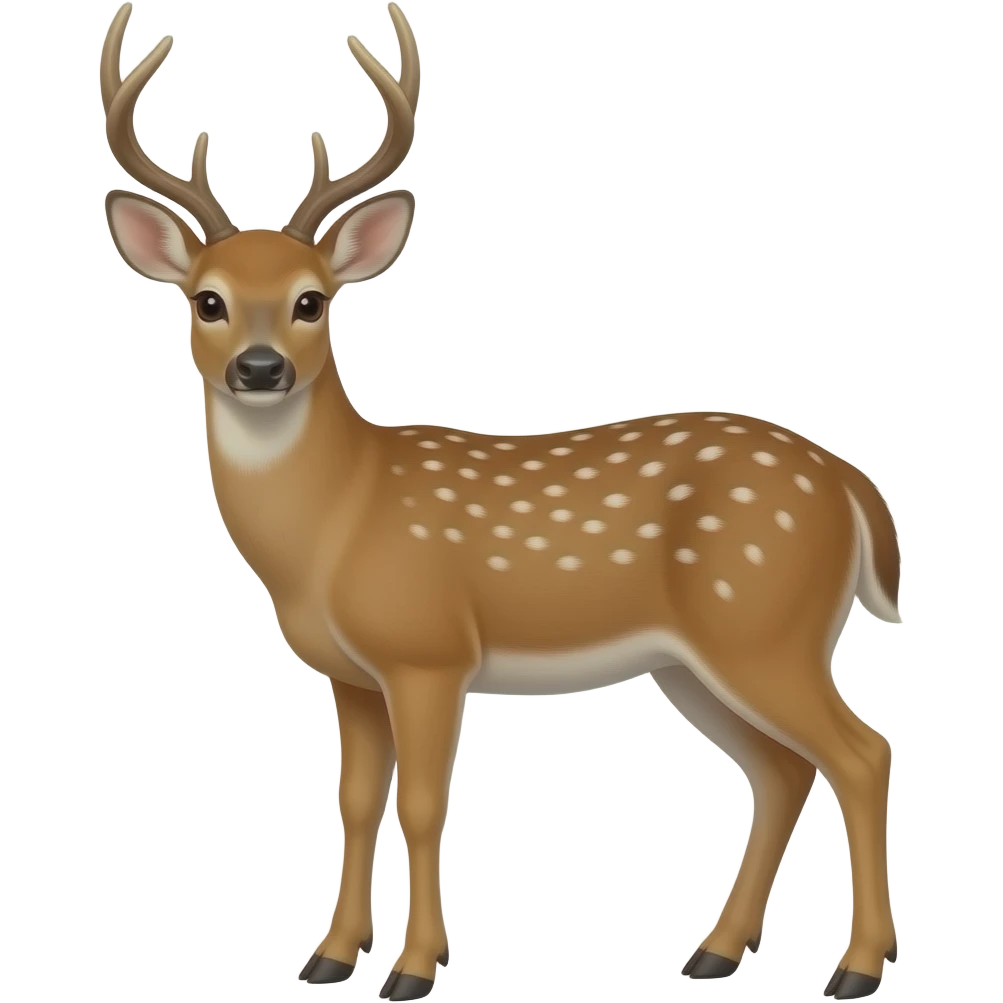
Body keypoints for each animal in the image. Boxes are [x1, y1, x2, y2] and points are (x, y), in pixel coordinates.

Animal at [99, 2, 903, 999]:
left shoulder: (429, 650)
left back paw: (856, 967)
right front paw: (329, 956)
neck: (336, 523)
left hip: (764, 623)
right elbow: (355, 800)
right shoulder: (350, 674)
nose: (259, 367)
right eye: (206, 300)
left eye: (312, 302)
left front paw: (413, 967)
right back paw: (714, 951)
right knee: (785, 769)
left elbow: (421, 802)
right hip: (698, 659)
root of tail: (851, 483)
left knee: (861, 753)